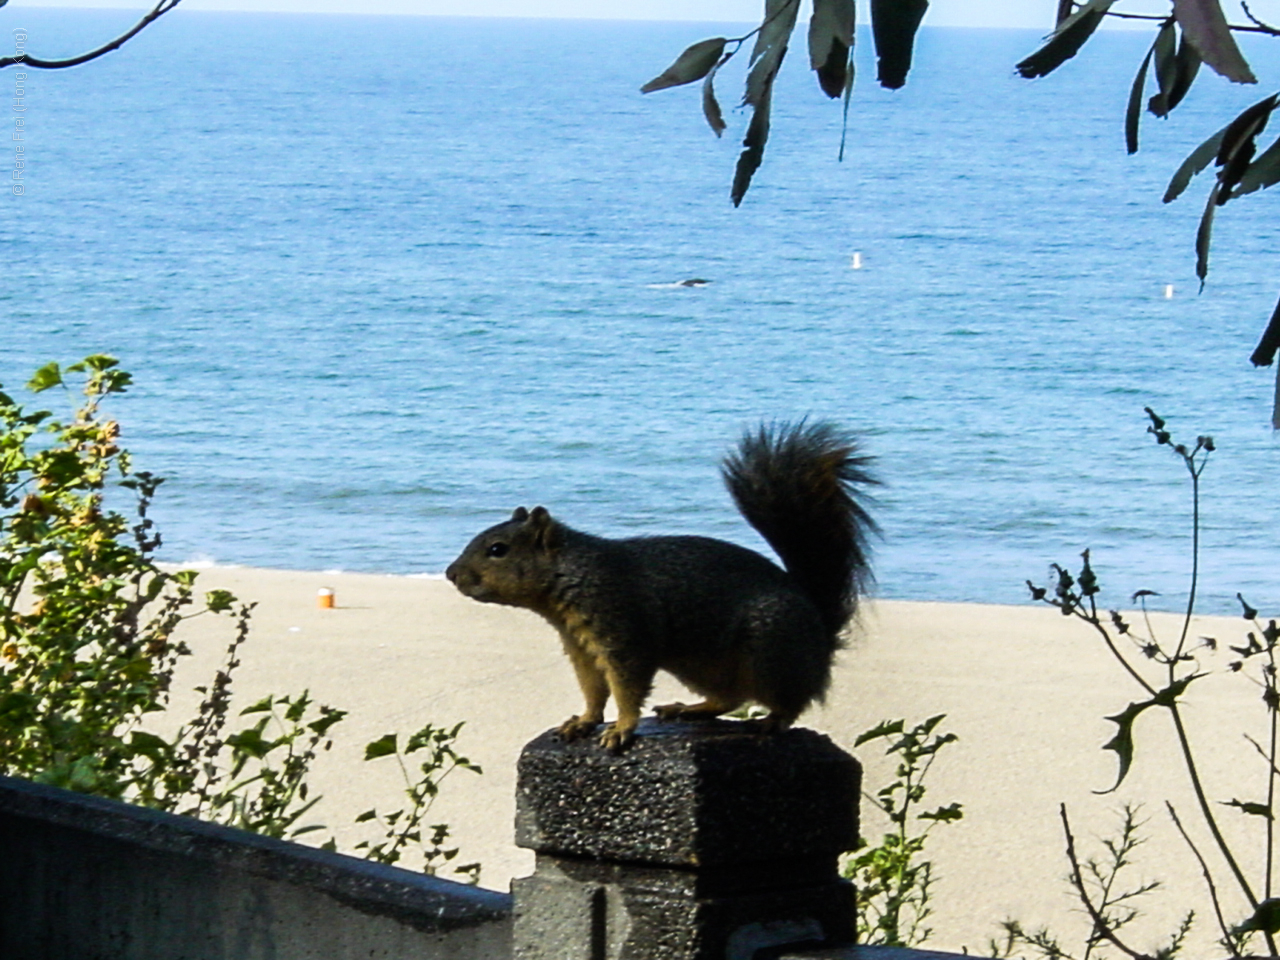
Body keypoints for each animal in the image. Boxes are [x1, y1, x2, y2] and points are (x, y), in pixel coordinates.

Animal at [445, 424, 875, 757]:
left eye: (497, 550)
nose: (451, 574)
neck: (573, 578)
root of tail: (822, 635)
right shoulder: (581, 647)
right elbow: (593, 689)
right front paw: (583, 721)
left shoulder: (623, 629)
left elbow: (627, 687)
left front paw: (621, 728)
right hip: (703, 666)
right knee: (731, 696)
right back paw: (690, 709)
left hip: (770, 650)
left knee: (790, 699)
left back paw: (772, 720)